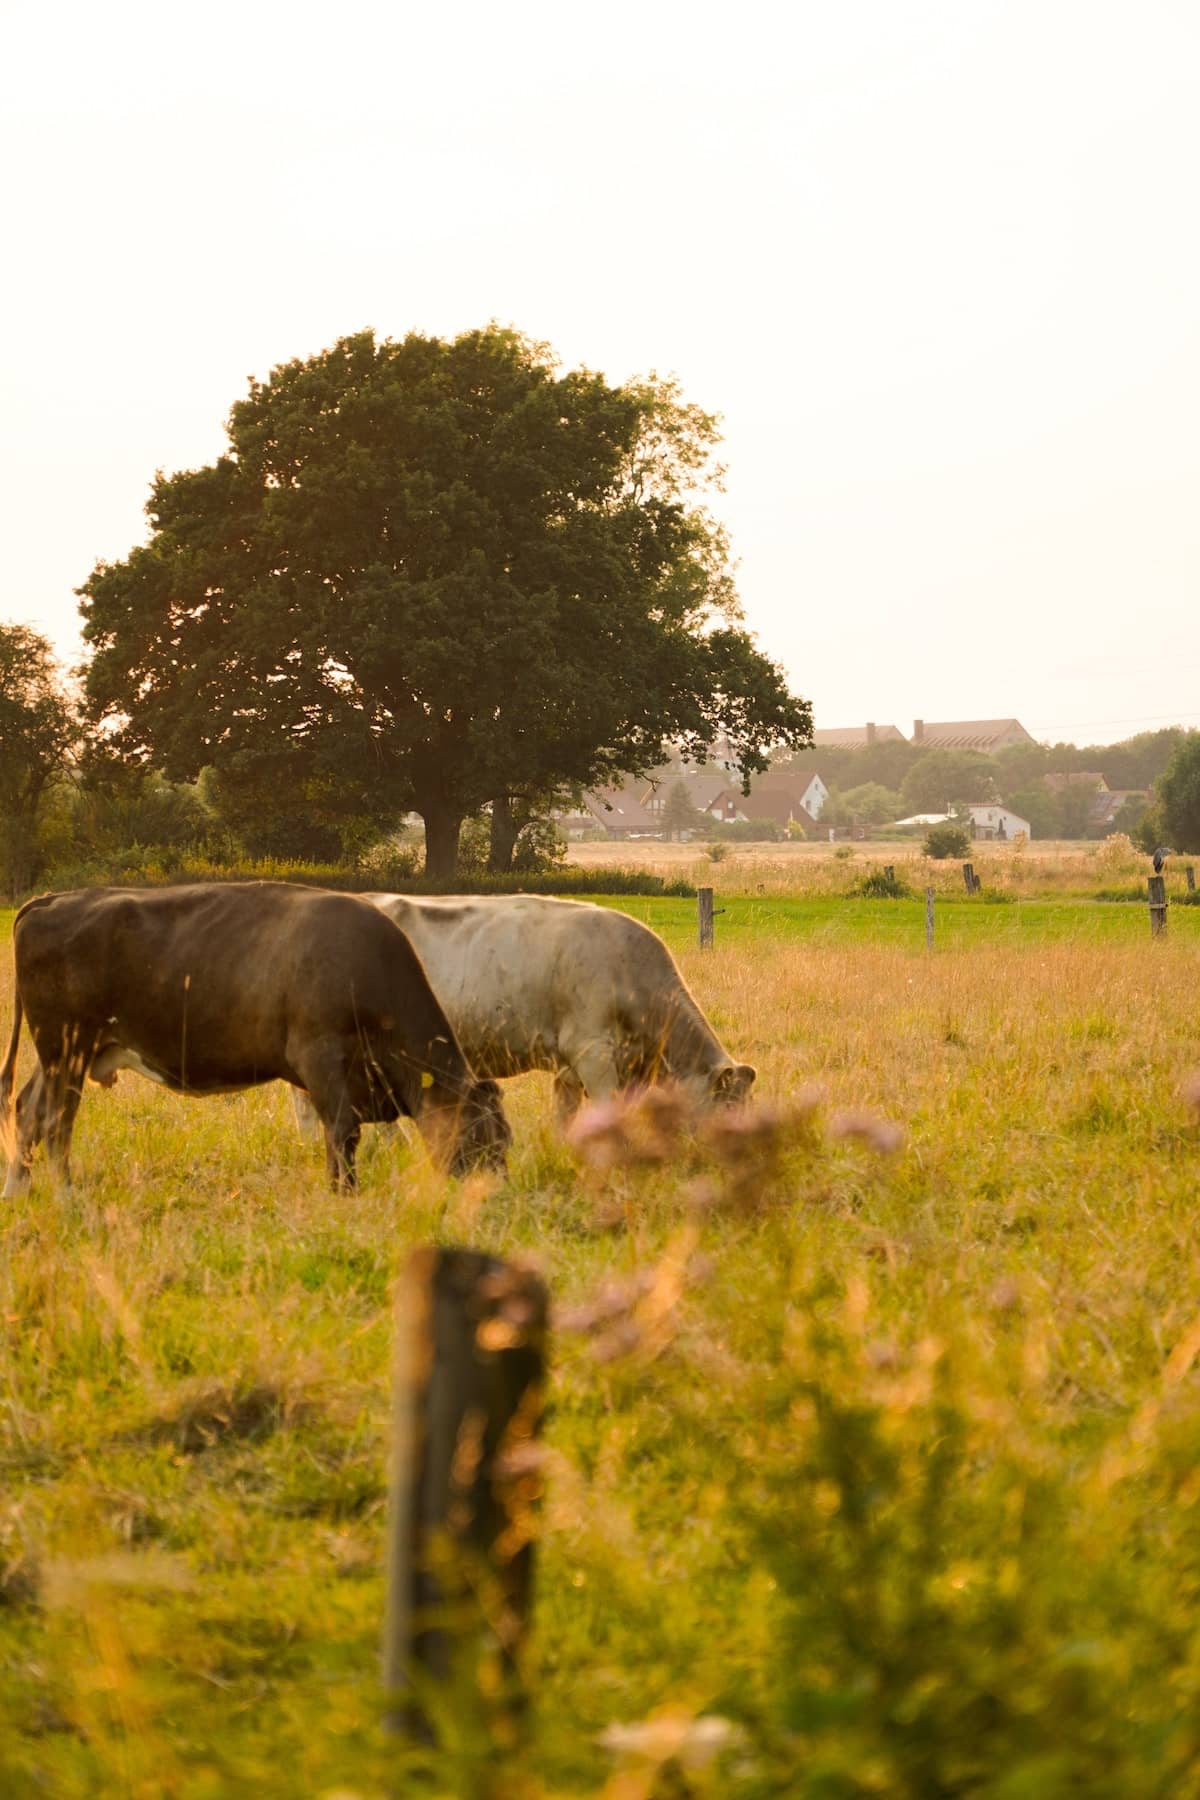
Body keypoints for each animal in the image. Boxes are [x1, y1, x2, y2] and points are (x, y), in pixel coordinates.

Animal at [0, 885, 507, 1195]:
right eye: (481, 1135)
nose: (493, 1196)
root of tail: (54, 899)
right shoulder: (321, 1054)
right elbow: (342, 1131)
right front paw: (344, 1196)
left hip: (62, 1055)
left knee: (28, 1111)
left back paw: (18, 1192)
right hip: (67, 1049)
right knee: (56, 1125)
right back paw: (68, 1199)